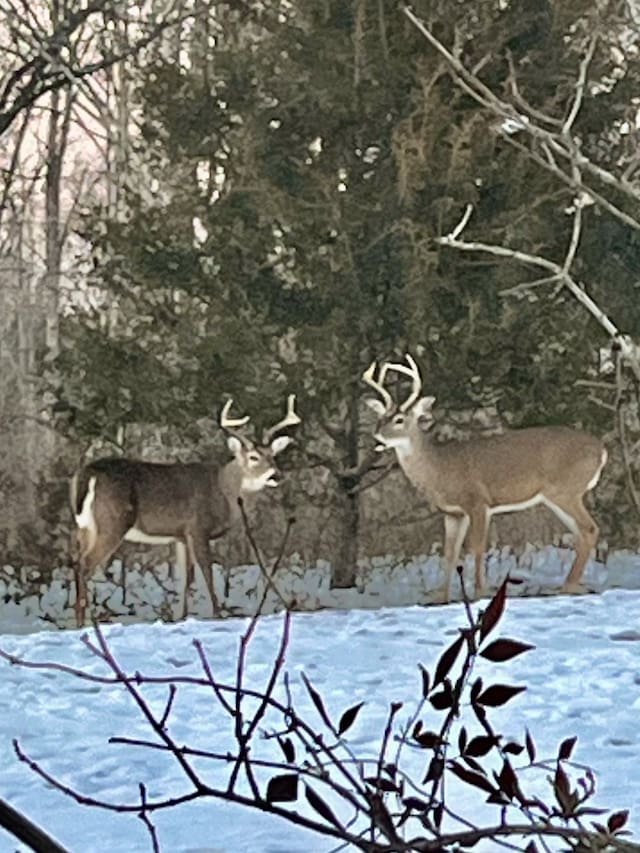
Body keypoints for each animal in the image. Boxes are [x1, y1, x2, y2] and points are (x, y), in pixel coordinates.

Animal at [71, 394, 302, 624]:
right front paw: (217, 615)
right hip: (113, 522)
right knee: (85, 564)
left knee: (77, 563)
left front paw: (181, 617)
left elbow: (185, 578)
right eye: (253, 457)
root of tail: (88, 474)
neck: (224, 490)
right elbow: (206, 573)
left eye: (273, 455)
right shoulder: (198, 528)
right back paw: (85, 622)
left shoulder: (180, 536)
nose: (275, 475)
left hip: (85, 527)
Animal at [362, 356, 608, 604]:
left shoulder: (478, 502)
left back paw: (568, 585)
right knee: (581, 532)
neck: (439, 468)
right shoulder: (453, 512)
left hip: (566, 490)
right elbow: (450, 552)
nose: (377, 436)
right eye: (380, 418)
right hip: (556, 497)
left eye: (399, 419)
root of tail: (601, 450)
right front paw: (441, 596)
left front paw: (480, 591)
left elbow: (477, 547)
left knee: (589, 529)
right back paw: (574, 584)